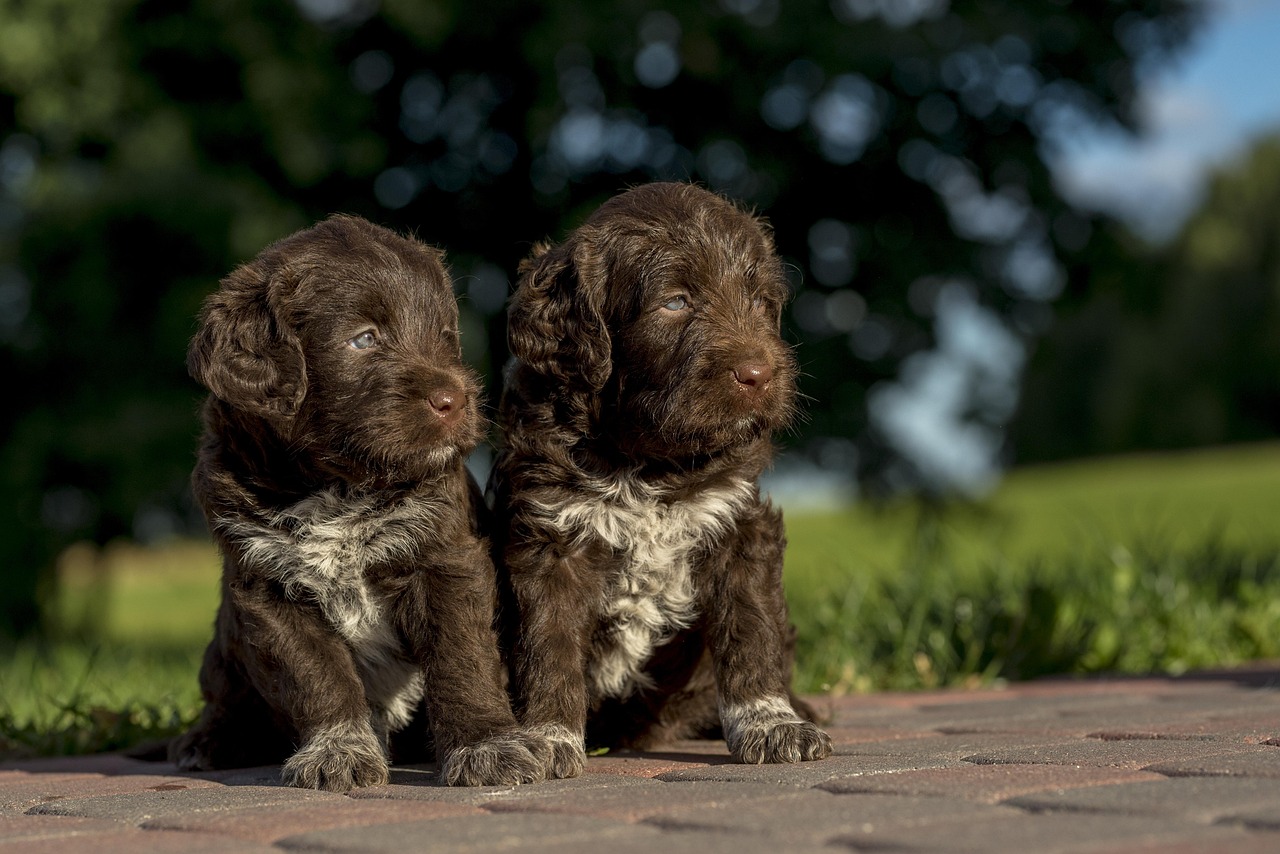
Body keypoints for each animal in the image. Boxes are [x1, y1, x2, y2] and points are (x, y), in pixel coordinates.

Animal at [170, 217, 545, 793]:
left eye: (444, 337)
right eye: (364, 339)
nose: (455, 400)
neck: (338, 488)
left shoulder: (446, 559)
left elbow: (462, 657)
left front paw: (487, 747)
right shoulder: (268, 590)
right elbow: (316, 675)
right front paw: (339, 751)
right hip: (224, 645)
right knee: (224, 698)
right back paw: (206, 742)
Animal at [486, 184, 829, 778]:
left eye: (760, 301)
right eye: (675, 303)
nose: (761, 375)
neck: (647, 464)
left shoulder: (739, 524)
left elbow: (751, 631)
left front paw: (771, 723)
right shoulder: (552, 539)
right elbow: (548, 645)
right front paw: (548, 736)